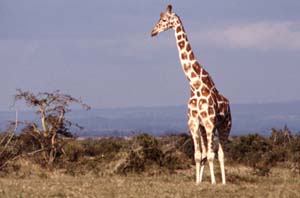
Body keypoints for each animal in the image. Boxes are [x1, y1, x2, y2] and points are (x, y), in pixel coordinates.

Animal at [150, 4, 232, 184]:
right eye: (159, 18)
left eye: (164, 19)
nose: (152, 32)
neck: (195, 84)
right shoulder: (194, 123)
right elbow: (198, 155)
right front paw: (197, 182)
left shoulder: (209, 122)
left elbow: (211, 155)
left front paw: (213, 182)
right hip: (205, 128)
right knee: (206, 153)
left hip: (225, 126)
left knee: (221, 153)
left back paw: (223, 182)